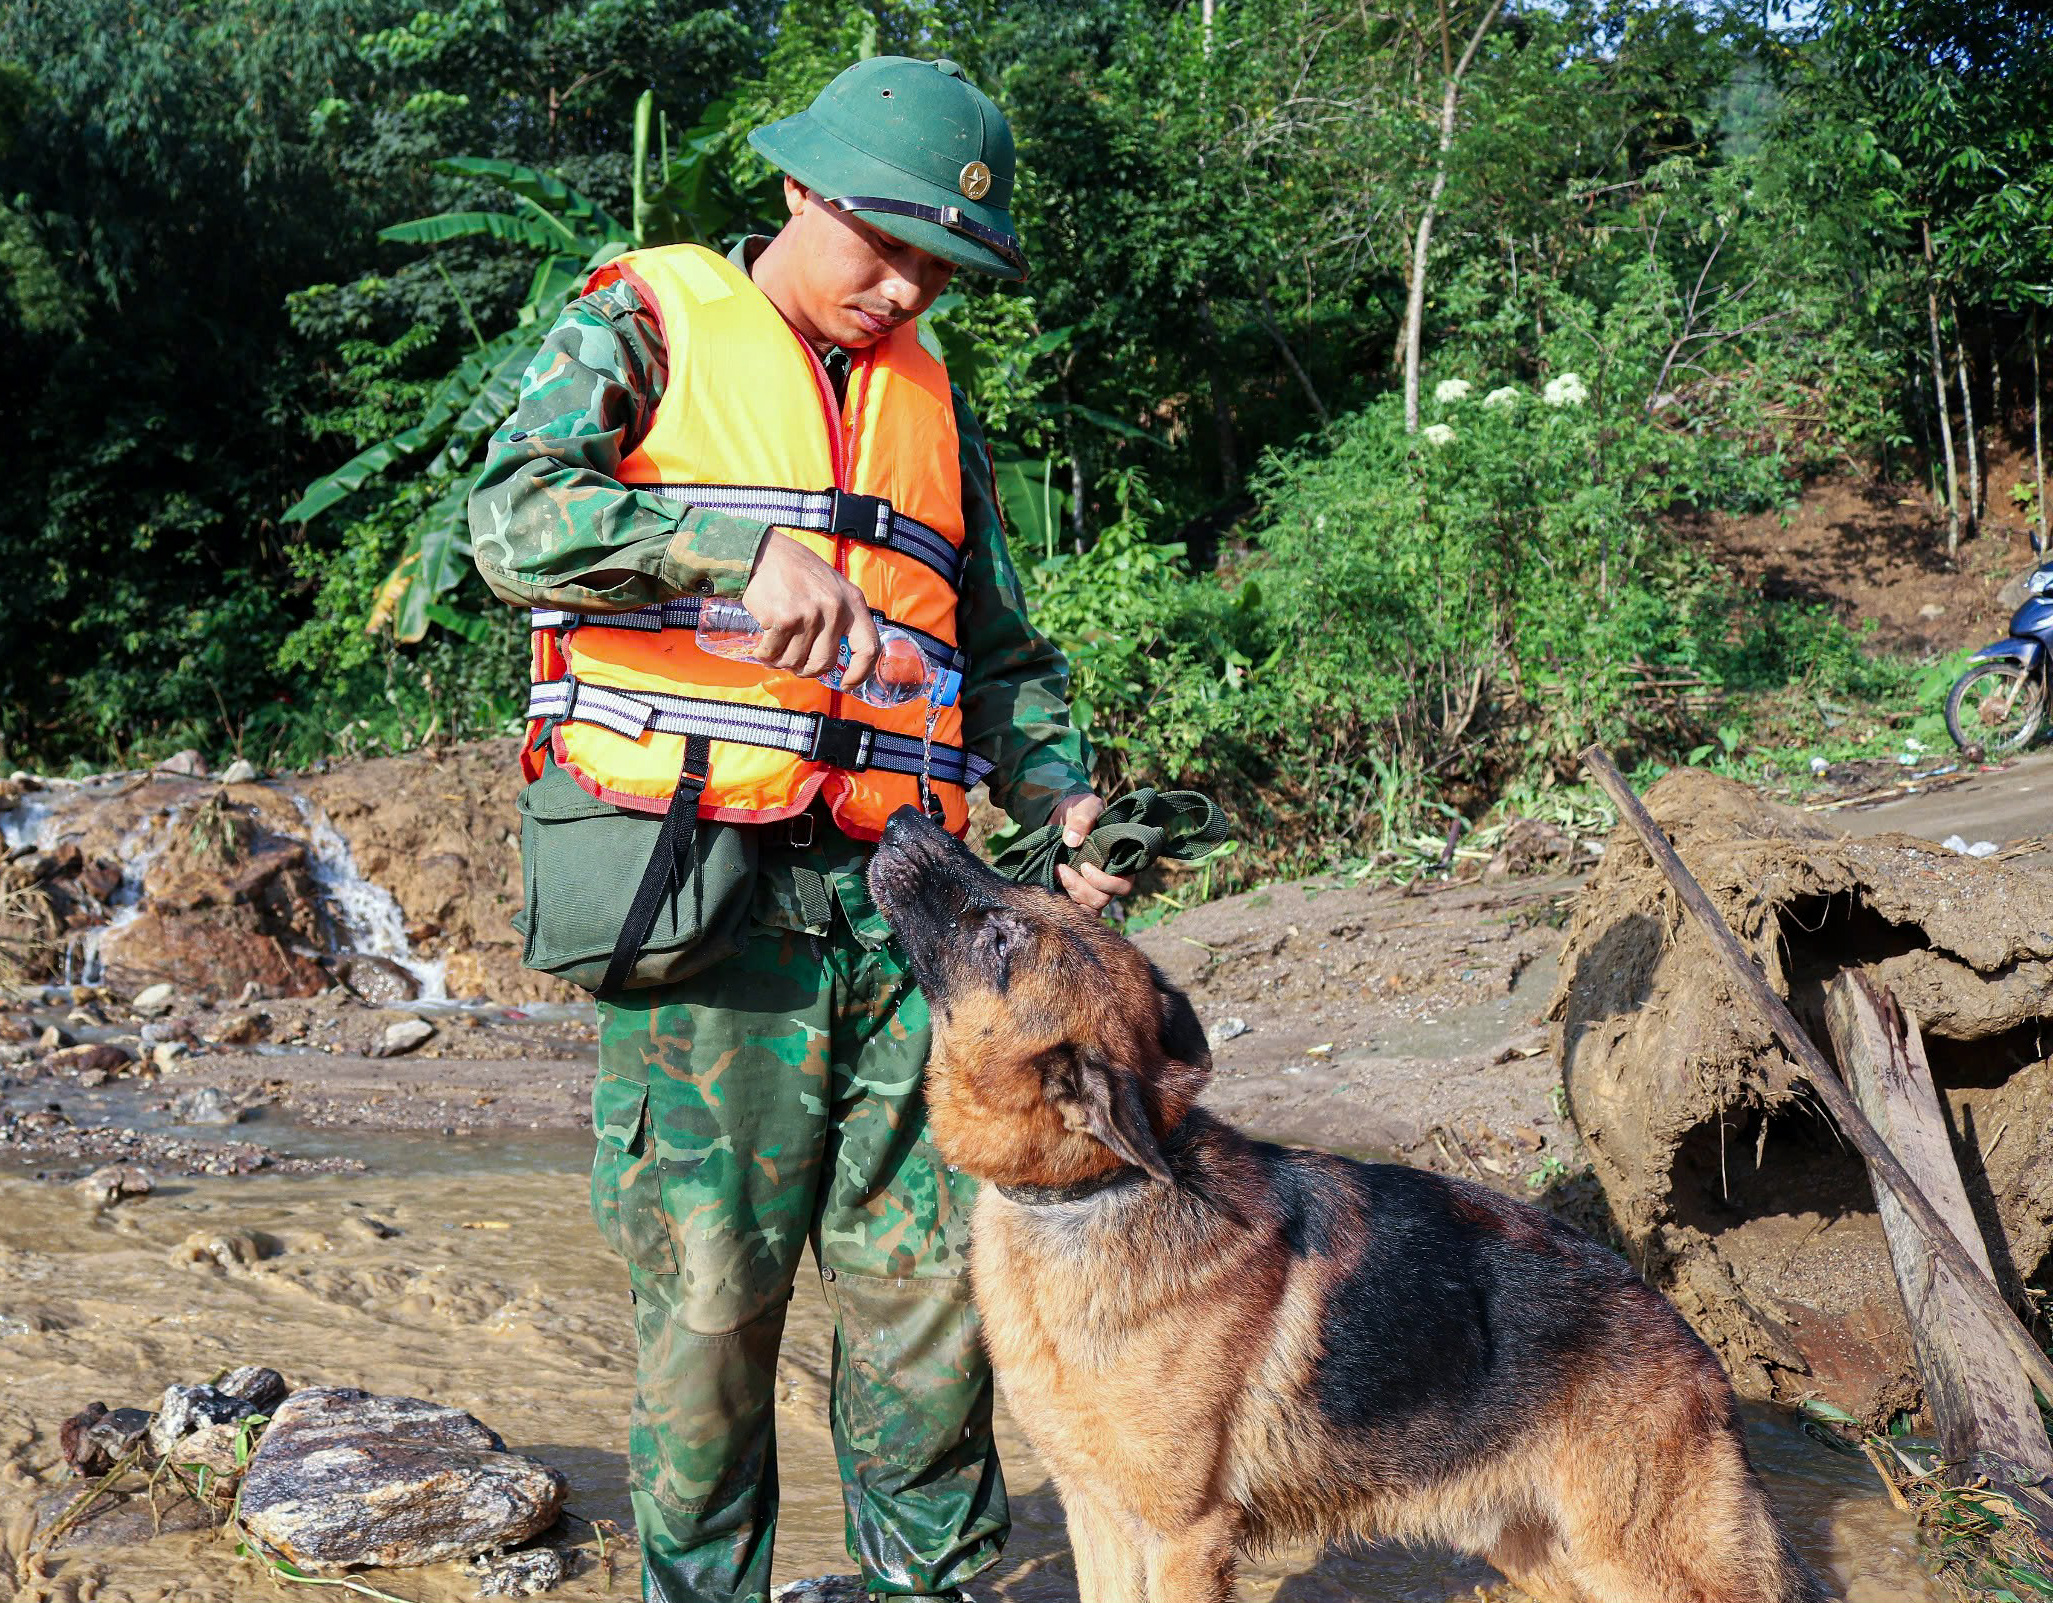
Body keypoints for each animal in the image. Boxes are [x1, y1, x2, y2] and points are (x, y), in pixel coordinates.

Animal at [866, 808, 1831, 1600]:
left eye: (1000, 933)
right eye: (1025, 892)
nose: (908, 819)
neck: (1092, 1190)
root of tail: (1693, 1341)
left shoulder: (1185, 1537)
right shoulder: (1095, 1514)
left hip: (1641, 1560)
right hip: (1538, 1551)